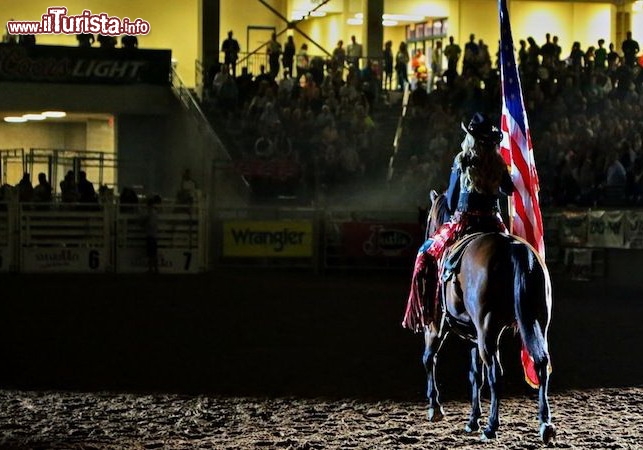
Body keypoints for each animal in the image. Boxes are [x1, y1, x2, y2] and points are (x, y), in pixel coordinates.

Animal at [420, 190, 556, 442]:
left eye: (428, 218)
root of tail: (514, 248)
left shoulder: (437, 325)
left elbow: (429, 358)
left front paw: (435, 407)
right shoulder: (474, 338)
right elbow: (475, 375)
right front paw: (472, 419)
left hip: (488, 330)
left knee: (496, 373)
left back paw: (492, 426)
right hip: (538, 323)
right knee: (541, 363)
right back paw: (546, 425)